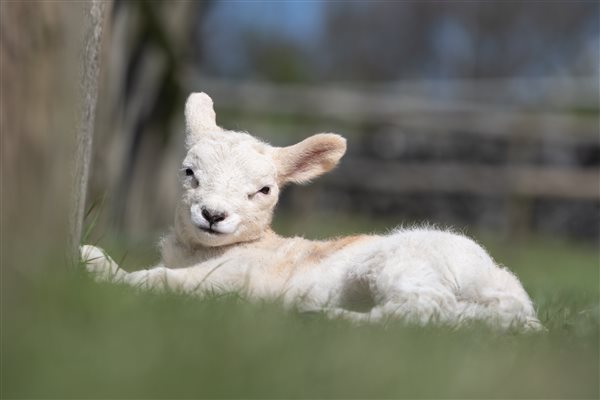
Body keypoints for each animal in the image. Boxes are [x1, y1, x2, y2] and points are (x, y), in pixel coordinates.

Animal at [82, 91, 548, 332]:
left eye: (264, 190)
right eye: (189, 172)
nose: (213, 215)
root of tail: (502, 288)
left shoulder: (233, 281)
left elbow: (158, 281)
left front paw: (102, 269)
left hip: (402, 264)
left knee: (422, 308)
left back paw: (328, 318)